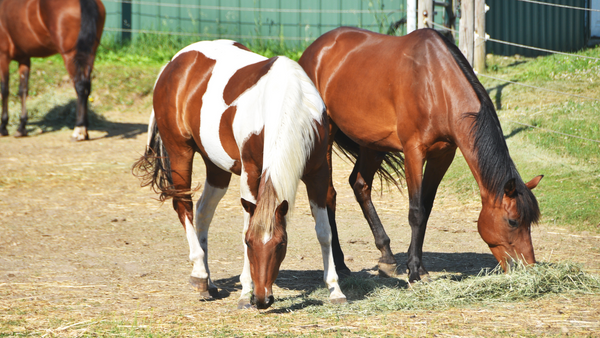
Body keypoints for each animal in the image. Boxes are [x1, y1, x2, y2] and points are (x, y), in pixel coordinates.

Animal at [0, 0, 105, 141]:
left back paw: (78, 130)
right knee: (87, 88)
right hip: (89, 55)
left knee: (80, 87)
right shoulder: (24, 58)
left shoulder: (3, 56)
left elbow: (5, 90)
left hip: (70, 56)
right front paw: (21, 128)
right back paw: (85, 131)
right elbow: (23, 90)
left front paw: (3, 127)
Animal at [132, 39, 346, 308]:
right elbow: (247, 224)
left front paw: (335, 289)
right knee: (184, 206)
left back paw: (209, 281)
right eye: (249, 243)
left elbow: (324, 231)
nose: (262, 299)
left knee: (203, 212)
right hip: (179, 151)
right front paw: (245, 292)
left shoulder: (318, 173)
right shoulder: (251, 172)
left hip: (216, 167)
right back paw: (199, 274)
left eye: (281, 244)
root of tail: (174, 62)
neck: (287, 102)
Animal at [300, 27, 544, 282]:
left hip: (372, 143)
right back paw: (339, 264)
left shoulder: (442, 156)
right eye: (513, 221)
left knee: (360, 185)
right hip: (327, 134)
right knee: (328, 195)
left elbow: (426, 209)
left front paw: (416, 265)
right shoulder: (413, 153)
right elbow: (416, 211)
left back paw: (387, 257)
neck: (437, 85)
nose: (529, 267)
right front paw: (415, 272)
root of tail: (314, 50)